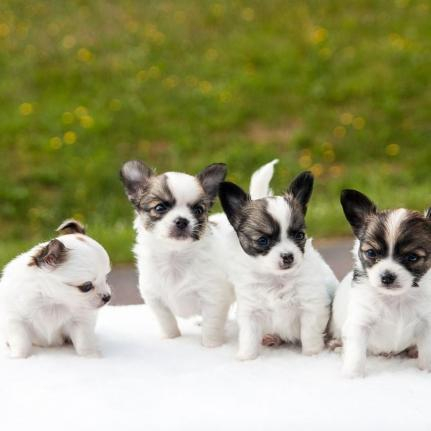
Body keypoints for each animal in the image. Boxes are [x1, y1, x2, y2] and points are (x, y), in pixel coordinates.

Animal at [0, 220, 111, 358]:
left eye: (106, 279)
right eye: (86, 286)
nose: (107, 297)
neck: (53, 301)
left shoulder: (80, 321)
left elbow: (84, 342)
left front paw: (91, 356)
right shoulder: (16, 320)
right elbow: (21, 343)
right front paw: (19, 357)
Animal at [120, 160, 234, 347]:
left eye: (198, 210)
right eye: (159, 208)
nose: (182, 220)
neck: (174, 256)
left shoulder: (213, 298)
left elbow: (212, 326)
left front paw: (211, 346)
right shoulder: (155, 299)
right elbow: (167, 322)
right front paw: (171, 338)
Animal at [216, 160, 338, 360]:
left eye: (299, 236)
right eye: (263, 241)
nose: (288, 256)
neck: (276, 279)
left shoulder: (312, 307)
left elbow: (309, 334)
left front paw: (312, 354)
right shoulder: (250, 311)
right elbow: (248, 337)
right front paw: (246, 357)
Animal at [331, 190, 431, 377]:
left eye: (412, 257)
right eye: (371, 253)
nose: (387, 277)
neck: (395, 298)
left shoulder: (427, 325)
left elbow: (427, 354)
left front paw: (426, 371)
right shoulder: (359, 324)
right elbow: (355, 356)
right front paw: (352, 377)